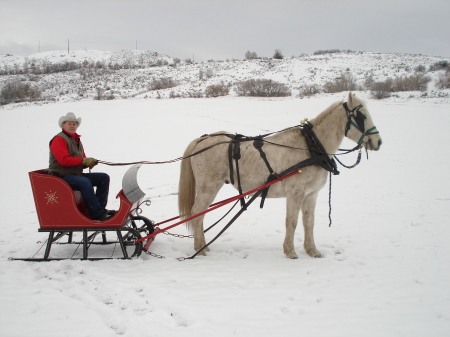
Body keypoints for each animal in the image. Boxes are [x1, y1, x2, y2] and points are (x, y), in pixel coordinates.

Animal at [178, 92, 382, 258]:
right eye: (362, 116)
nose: (378, 141)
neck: (310, 147)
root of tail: (202, 139)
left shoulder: (311, 194)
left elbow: (309, 222)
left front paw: (312, 250)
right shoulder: (295, 193)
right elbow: (291, 221)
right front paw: (290, 251)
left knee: (200, 215)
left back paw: (203, 245)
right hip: (209, 186)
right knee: (197, 213)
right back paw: (200, 248)